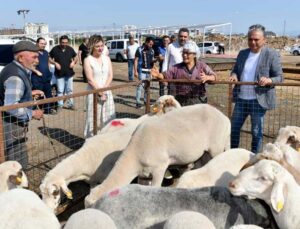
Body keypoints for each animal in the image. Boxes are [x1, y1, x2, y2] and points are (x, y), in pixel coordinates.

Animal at [85, 103, 232, 207]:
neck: (134, 156)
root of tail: (225, 118)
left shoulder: (160, 168)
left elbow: (155, 187)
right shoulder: (143, 174)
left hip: (217, 147)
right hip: (205, 151)